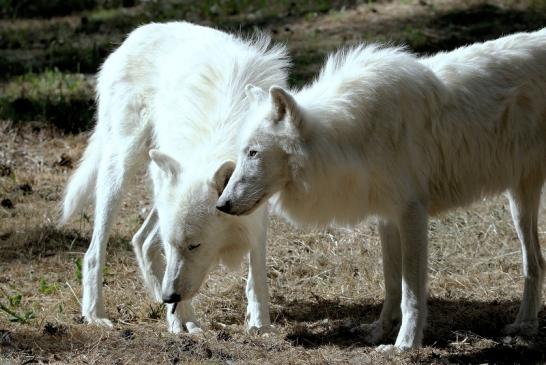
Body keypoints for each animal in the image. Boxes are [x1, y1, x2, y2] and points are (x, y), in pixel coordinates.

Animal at [60, 20, 288, 332]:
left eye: (195, 245)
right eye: (176, 245)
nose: (170, 296)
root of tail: (136, 34)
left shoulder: (257, 208)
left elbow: (257, 272)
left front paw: (260, 324)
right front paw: (181, 320)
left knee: (141, 240)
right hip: (121, 169)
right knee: (95, 251)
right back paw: (97, 313)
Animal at [217, 29, 544, 348]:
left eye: (253, 153)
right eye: (242, 152)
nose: (221, 204)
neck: (353, 138)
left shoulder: (412, 215)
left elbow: (411, 291)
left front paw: (405, 345)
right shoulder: (387, 217)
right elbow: (391, 283)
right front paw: (379, 332)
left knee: (534, 262)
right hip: (518, 202)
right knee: (536, 262)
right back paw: (524, 324)